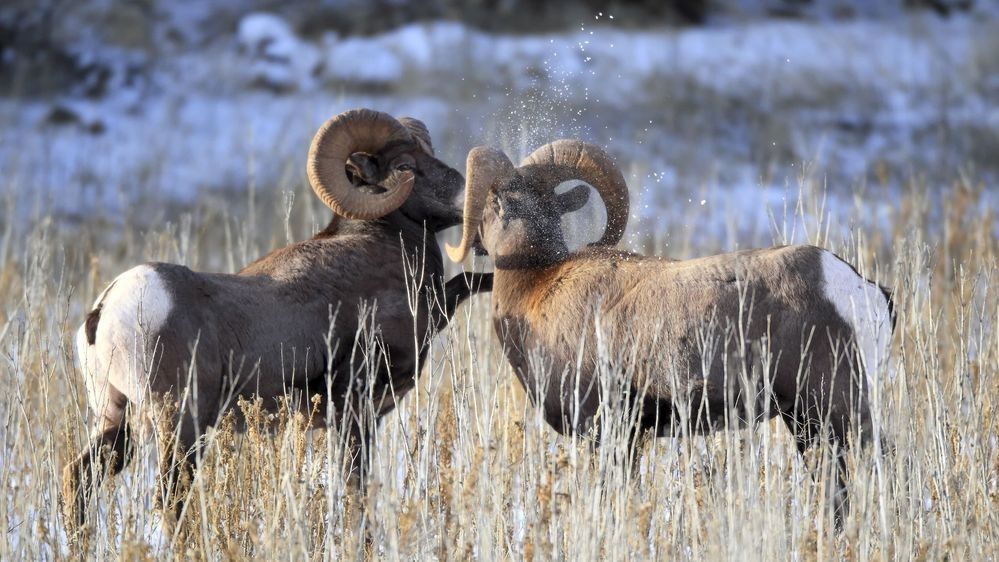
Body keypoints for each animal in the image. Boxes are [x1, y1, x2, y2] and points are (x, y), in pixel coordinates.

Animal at [63, 108, 492, 529]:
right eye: (405, 165)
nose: (473, 197)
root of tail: (106, 310)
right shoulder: (355, 410)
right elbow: (355, 492)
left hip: (117, 420)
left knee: (80, 477)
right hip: (180, 424)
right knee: (169, 498)